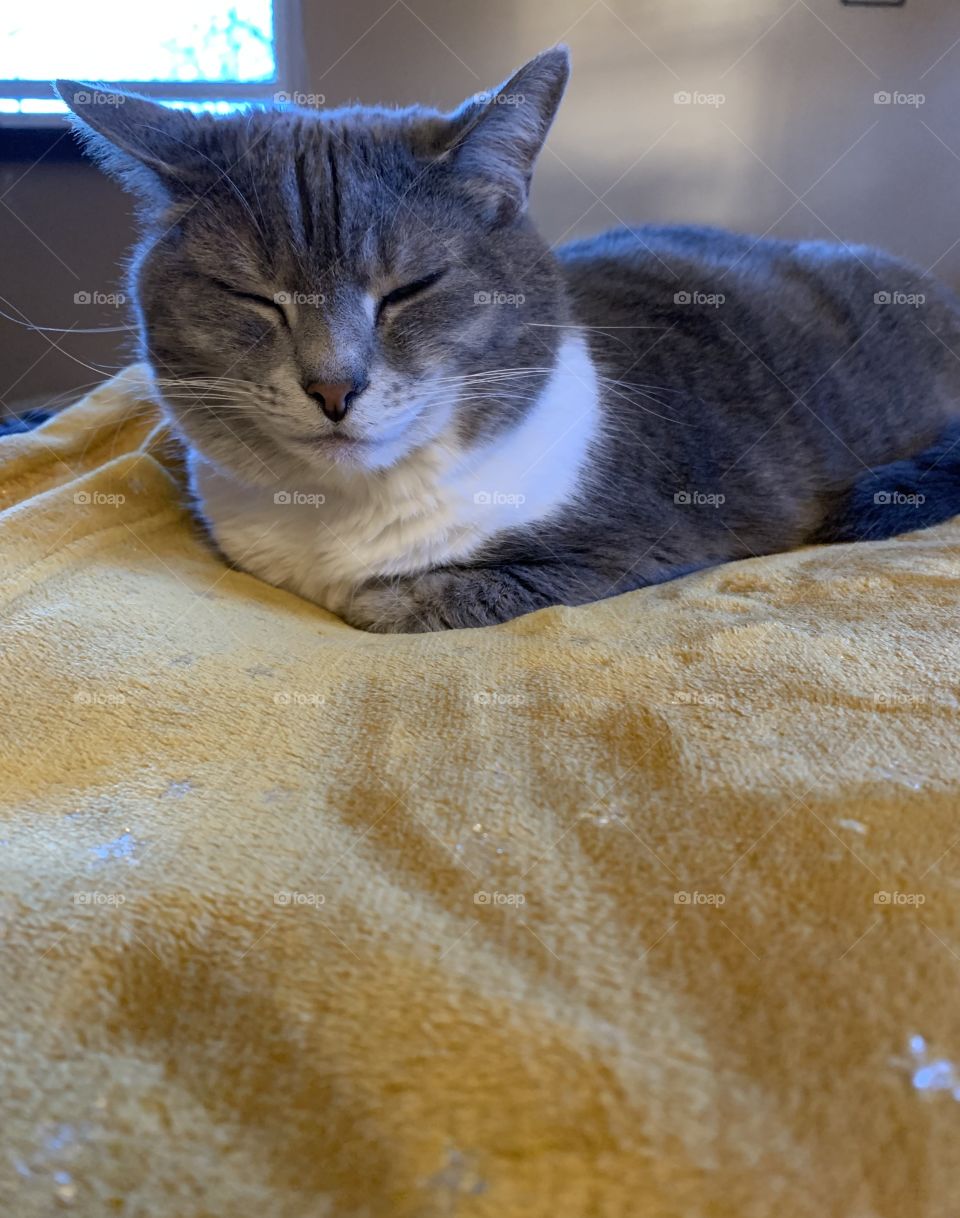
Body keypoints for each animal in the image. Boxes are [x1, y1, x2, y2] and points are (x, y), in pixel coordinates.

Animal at [56, 48, 960, 633]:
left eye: (410, 289)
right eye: (251, 296)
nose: (333, 386)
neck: (345, 512)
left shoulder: (643, 546)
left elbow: (404, 598)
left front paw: (378, 593)